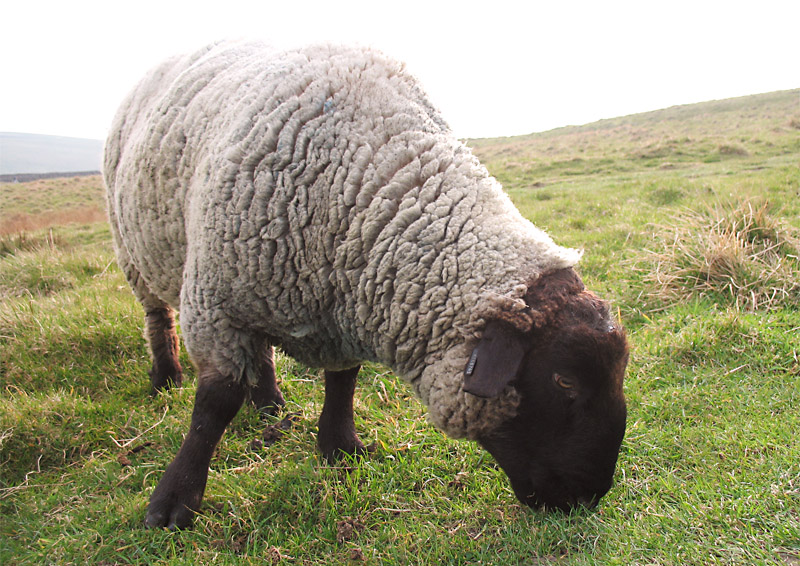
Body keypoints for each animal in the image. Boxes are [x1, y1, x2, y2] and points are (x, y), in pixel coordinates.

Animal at [103, 41, 629, 530]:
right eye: (564, 380)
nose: (588, 497)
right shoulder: (216, 304)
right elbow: (214, 406)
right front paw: (174, 502)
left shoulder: (344, 305)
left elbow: (343, 382)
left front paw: (341, 447)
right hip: (134, 252)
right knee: (157, 317)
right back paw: (166, 376)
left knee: (261, 354)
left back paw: (269, 403)